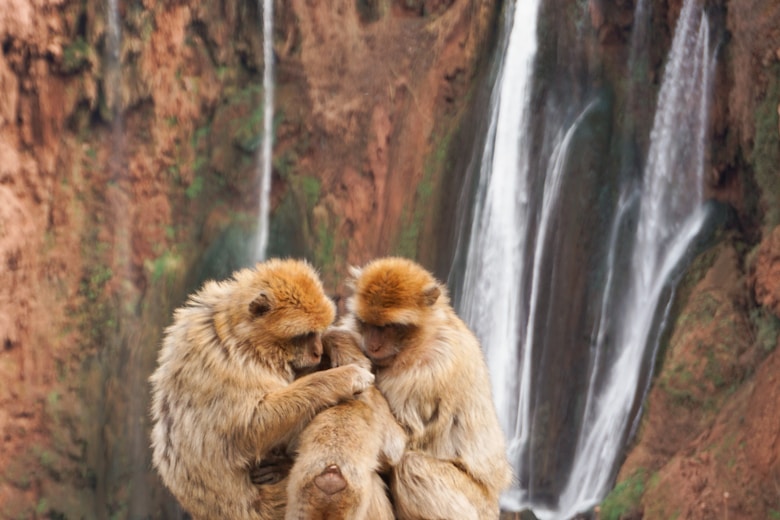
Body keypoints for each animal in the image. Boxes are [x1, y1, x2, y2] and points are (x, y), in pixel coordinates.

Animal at [149, 258, 375, 520]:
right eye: (304, 335)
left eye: (316, 333)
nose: (317, 351)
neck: (242, 338)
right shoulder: (227, 366)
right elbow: (249, 429)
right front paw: (344, 377)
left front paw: (337, 341)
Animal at [342, 256, 513, 520]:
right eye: (367, 324)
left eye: (388, 327)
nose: (373, 345)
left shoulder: (431, 370)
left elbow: (398, 444)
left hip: (478, 506)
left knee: (412, 465)